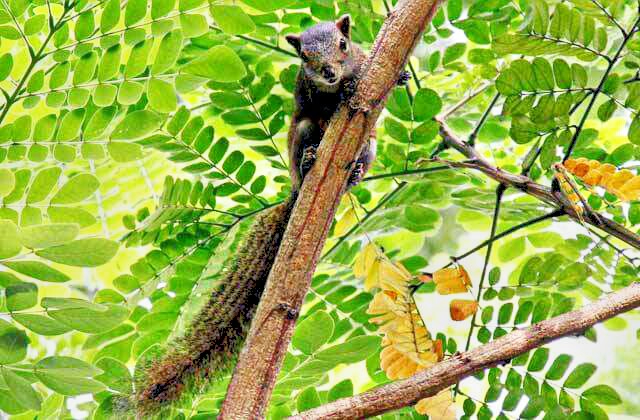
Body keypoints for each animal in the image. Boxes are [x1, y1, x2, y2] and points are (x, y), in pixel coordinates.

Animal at [134, 14, 410, 416]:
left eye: (344, 45)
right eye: (304, 57)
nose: (329, 72)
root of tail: (296, 189)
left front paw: (400, 76)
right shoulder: (308, 95)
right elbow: (318, 105)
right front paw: (339, 93)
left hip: (369, 146)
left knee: (362, 158)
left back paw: (355, 173)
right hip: (302, 133)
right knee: (307, 137)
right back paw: (309, 162)